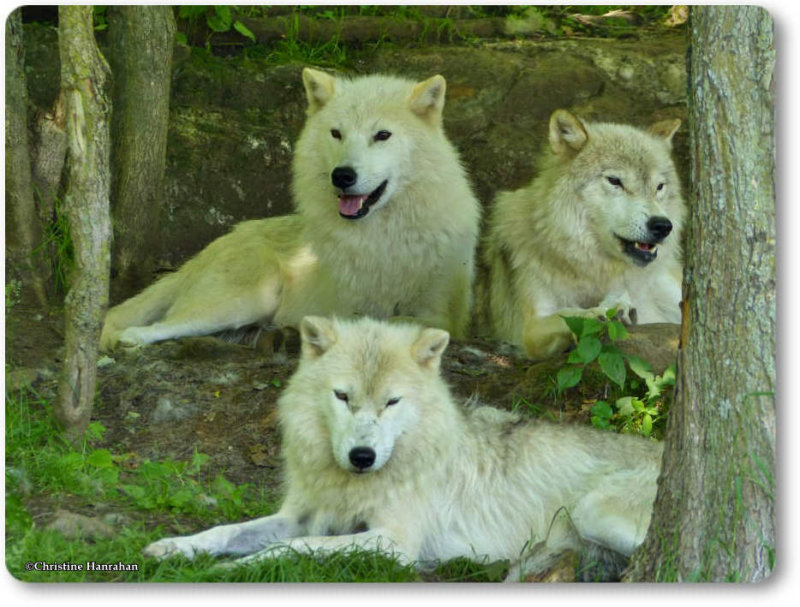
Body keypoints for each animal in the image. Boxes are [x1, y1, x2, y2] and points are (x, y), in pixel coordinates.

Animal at [103, 68, 484, 350]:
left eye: (382, 135)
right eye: (336, 133)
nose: (342, 175)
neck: (383, 238)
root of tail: (205, 252)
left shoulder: (443, 315)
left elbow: (408, 321)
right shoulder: (349, 306)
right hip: (247, 298)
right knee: (165, 324)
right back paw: (131, 338)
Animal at [144, 316, 664, 580]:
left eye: (391, 402)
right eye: (343, 396)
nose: (362, 457)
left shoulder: (396, 544)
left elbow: (291, 547)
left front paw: (239, 568)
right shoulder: (304, 514)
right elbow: (227, 531)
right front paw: (175, 548)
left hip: (593, 511)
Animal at [478, 108, 684, 360]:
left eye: (659, 187)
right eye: (615, 181)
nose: (662, 226)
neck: (587, 269)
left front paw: (617, 305)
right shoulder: (530, 331)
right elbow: (568, 313)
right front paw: (598, 313)